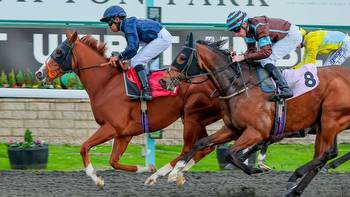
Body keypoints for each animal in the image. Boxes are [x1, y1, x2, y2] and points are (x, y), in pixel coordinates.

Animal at [34, 31, 230, 188]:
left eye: (59, 52)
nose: (39, 73)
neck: (106, 84)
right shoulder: (124, 134)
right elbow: (113, 161)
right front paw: (143, 167)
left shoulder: (111, 127)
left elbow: (84, 147)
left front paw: (97, 179)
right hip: (197, 118)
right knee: (204, 147)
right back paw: (176, 175)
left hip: (192, 116)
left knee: (188, 148)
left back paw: (161, 175)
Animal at [162, 38, 350, 195]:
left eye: (181, 58)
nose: (164, 81)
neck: (239, 85)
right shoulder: (233, 129)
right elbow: (200, 143)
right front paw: (175, 172)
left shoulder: (257, 132)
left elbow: (230, 153)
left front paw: (256, 169)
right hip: (325, 125)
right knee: (323, 156)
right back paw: (295, 189)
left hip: (330, 120)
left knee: (326, 154)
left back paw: (296, 176)